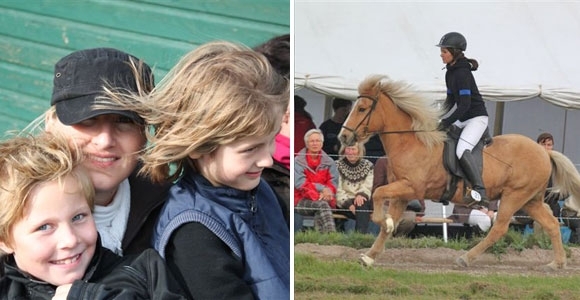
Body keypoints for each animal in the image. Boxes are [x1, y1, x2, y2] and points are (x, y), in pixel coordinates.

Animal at [338, 74, 580, 270]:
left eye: (361, 109)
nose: (343, 137)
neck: (411, 143)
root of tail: (544, 152)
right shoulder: (402, 193)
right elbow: (386, 224)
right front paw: (369, 256)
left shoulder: (410, 188)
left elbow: (378, 195)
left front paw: (383, 222)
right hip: (530, 200)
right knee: (551, 224)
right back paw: (557, 263)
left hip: (514, 196)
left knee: (500, 228)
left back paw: (466, 258)